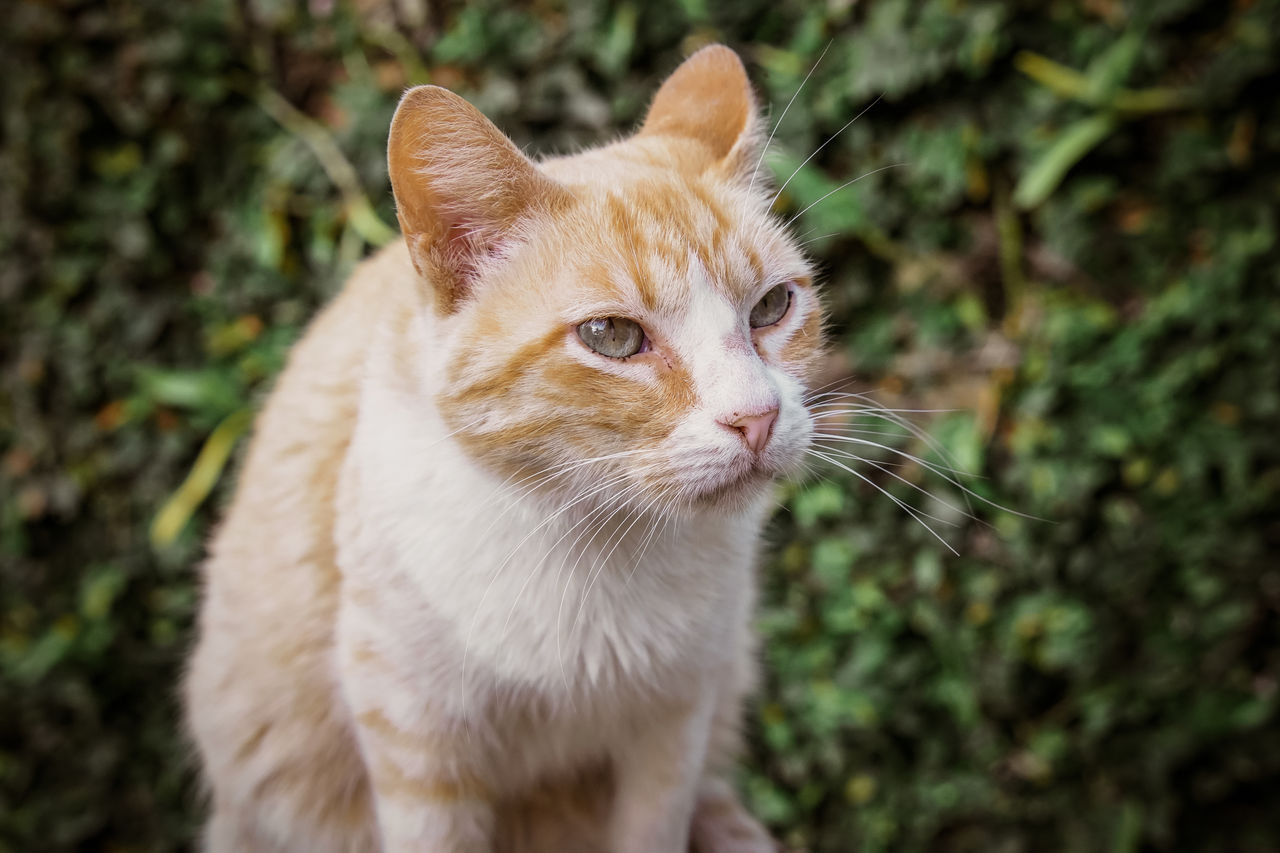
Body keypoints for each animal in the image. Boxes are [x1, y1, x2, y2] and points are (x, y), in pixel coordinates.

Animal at [185, 46, 824, 850]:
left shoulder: (676, 720)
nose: (757, 415)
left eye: (772, 306)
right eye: (611, 336)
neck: (596, 547)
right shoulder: (414, 735)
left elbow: (656, 822)